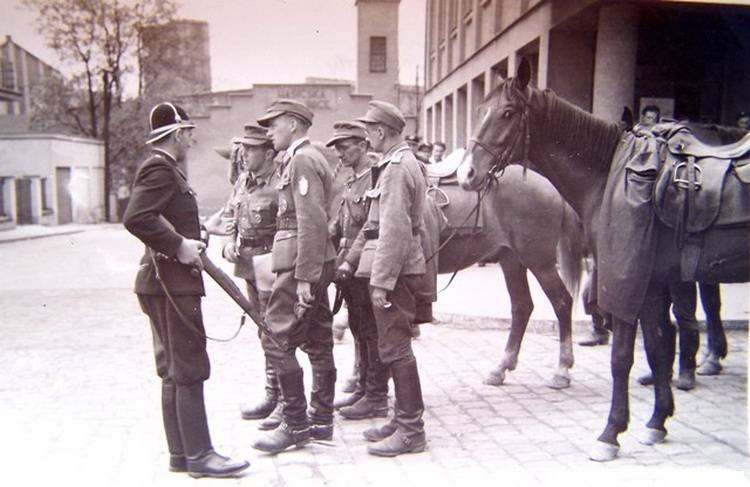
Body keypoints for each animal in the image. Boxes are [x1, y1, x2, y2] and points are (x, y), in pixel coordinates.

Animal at [458, 59, 750, 464]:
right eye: (480, 111)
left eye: (507, 113)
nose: (465, 174)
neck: (608, 173)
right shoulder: (651, 282)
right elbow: (657, 348)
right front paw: (657, 422)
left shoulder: (623, 277)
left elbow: (622, 357)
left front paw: (611, 433)